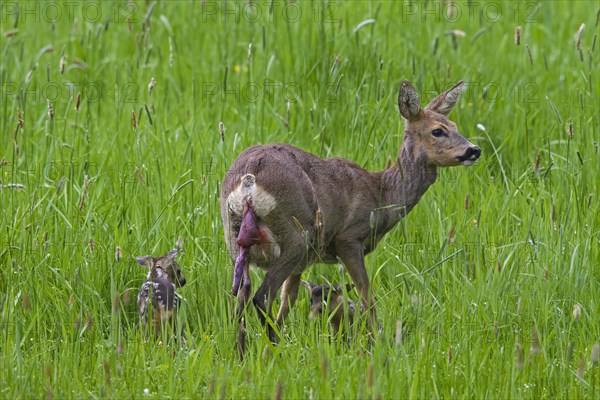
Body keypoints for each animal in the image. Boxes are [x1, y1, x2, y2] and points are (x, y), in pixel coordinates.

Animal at [223, 79, 480, 354]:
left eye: (455, 126)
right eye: (437, 131)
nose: (474, 150)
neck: (380, 196)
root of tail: (250, 179)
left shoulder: (304, 262)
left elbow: (287, 301)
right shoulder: (349, 239)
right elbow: (367, 296)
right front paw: (379, 342)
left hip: (236, 237)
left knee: (242, 294)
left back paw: (245, 350)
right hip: (296, 235)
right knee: (261, 295)